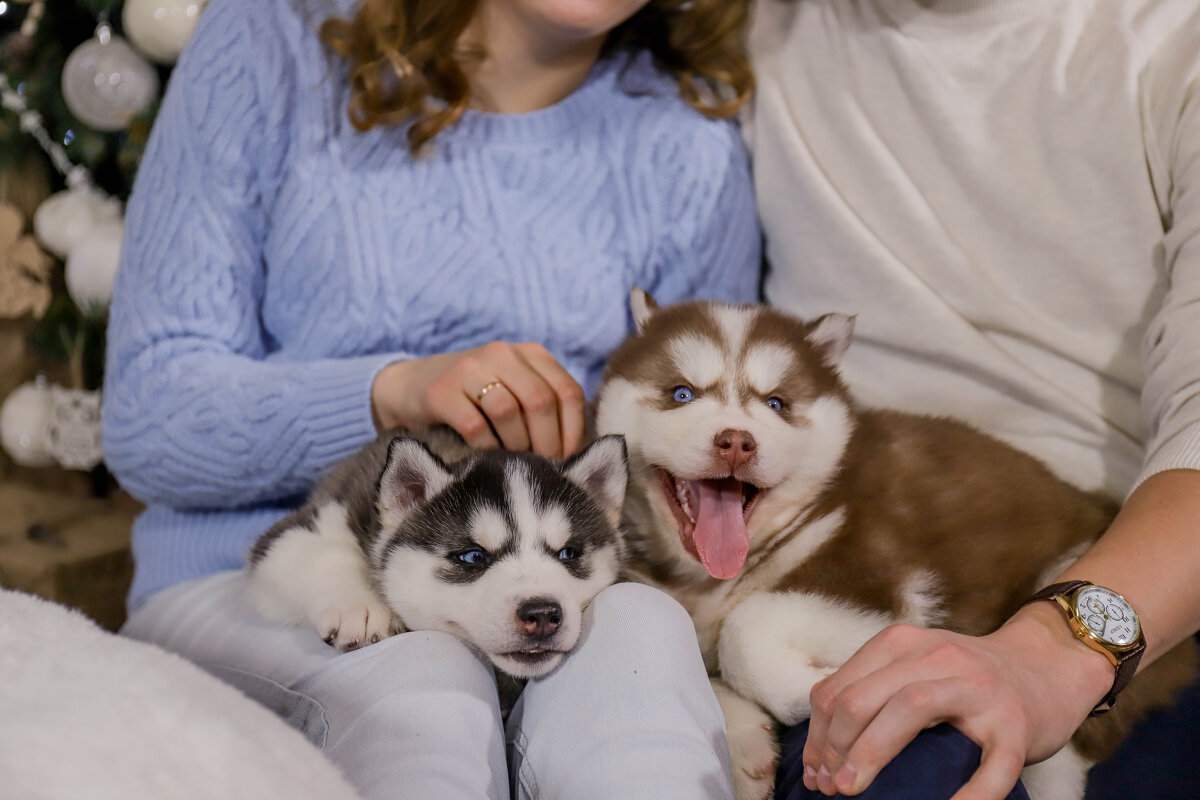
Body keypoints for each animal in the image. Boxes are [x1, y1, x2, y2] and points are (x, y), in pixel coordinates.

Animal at [249, 429, 633, 681]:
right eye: (473, 557)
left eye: (568, 553)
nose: (541, 614)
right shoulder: (300, 528)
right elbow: (322, 551)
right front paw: (361, 606)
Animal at [595, 292, 1195, 800]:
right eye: (682, 393)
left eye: (776, 403)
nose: (736, 441)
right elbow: (702, 655)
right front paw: (744, 747)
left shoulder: (885, 587)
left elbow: (745, 629)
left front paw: (811, 689)